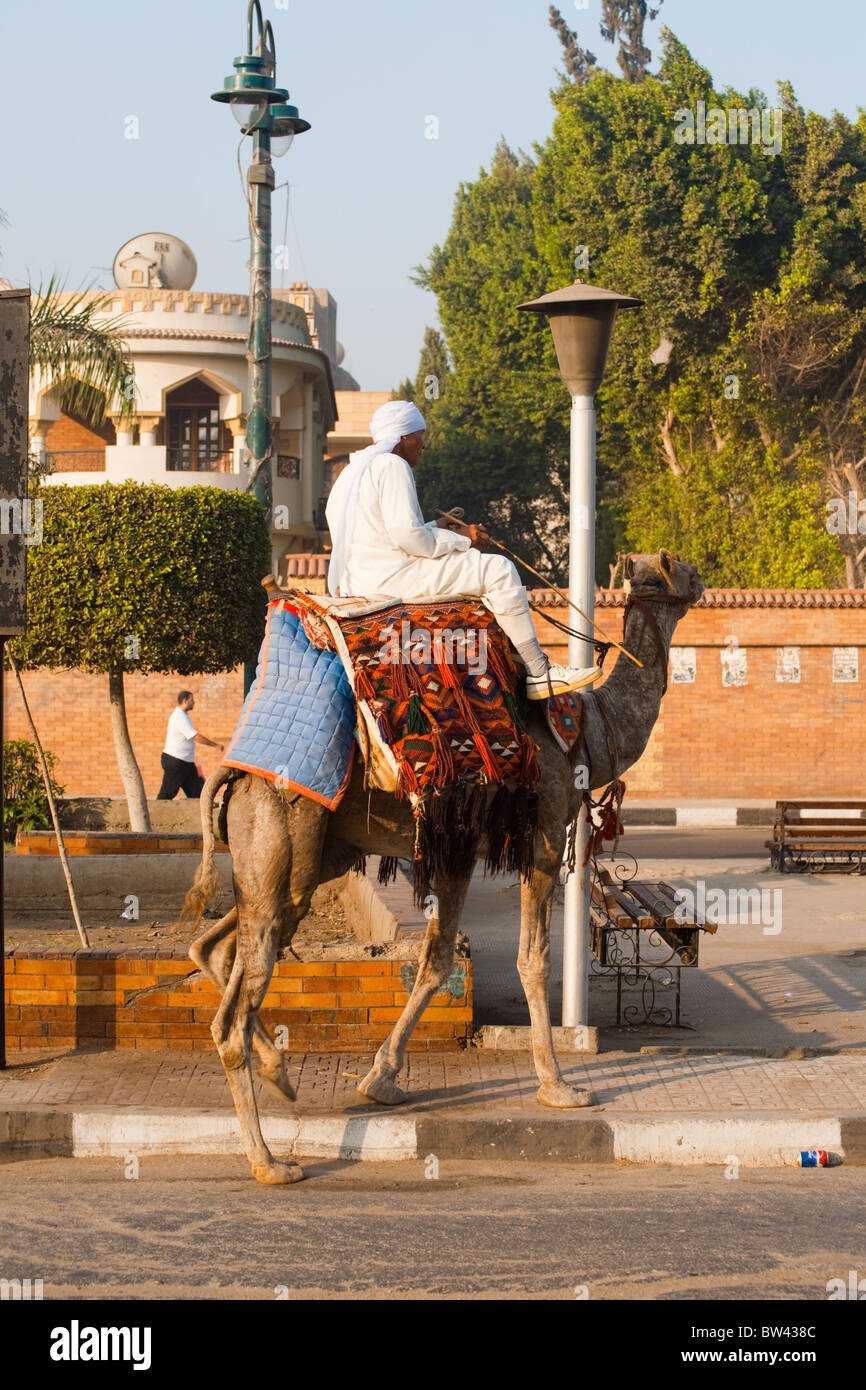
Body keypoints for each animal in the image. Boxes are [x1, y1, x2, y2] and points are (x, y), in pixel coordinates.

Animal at [183, 547, 706, 1178]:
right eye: (679, 569)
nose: (703, 579)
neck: (589, 727)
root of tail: (232, 773)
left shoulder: (455, 847)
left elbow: (435, 962)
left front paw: (380, 1080)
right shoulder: (542, 837)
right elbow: (533, 958)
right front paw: (559, 1087)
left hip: (302, 860)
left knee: (214, 947)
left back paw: (278, 1074)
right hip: (286, 838)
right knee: (233, 1005)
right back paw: (270, 1162)